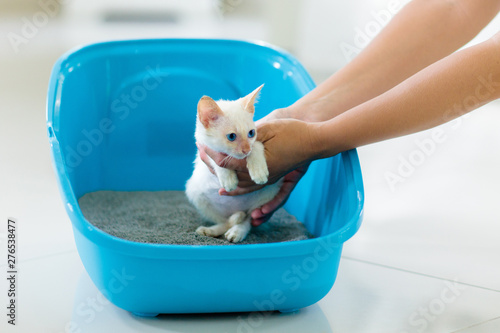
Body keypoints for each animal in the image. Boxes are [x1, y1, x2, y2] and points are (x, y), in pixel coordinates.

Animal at [187, 85, 282, 241]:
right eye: (231, 136)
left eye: (251, 133)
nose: (246, 150)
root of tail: (235, 209)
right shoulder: (204, 149)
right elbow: (217, 159)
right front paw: (228, 178)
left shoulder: (257, 141)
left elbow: (257, 146)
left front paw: (258, 171)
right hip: (195, 193)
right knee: (225, 222)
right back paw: (211, 230)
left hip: (268, 193)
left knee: (247, 219)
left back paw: (237, 231)